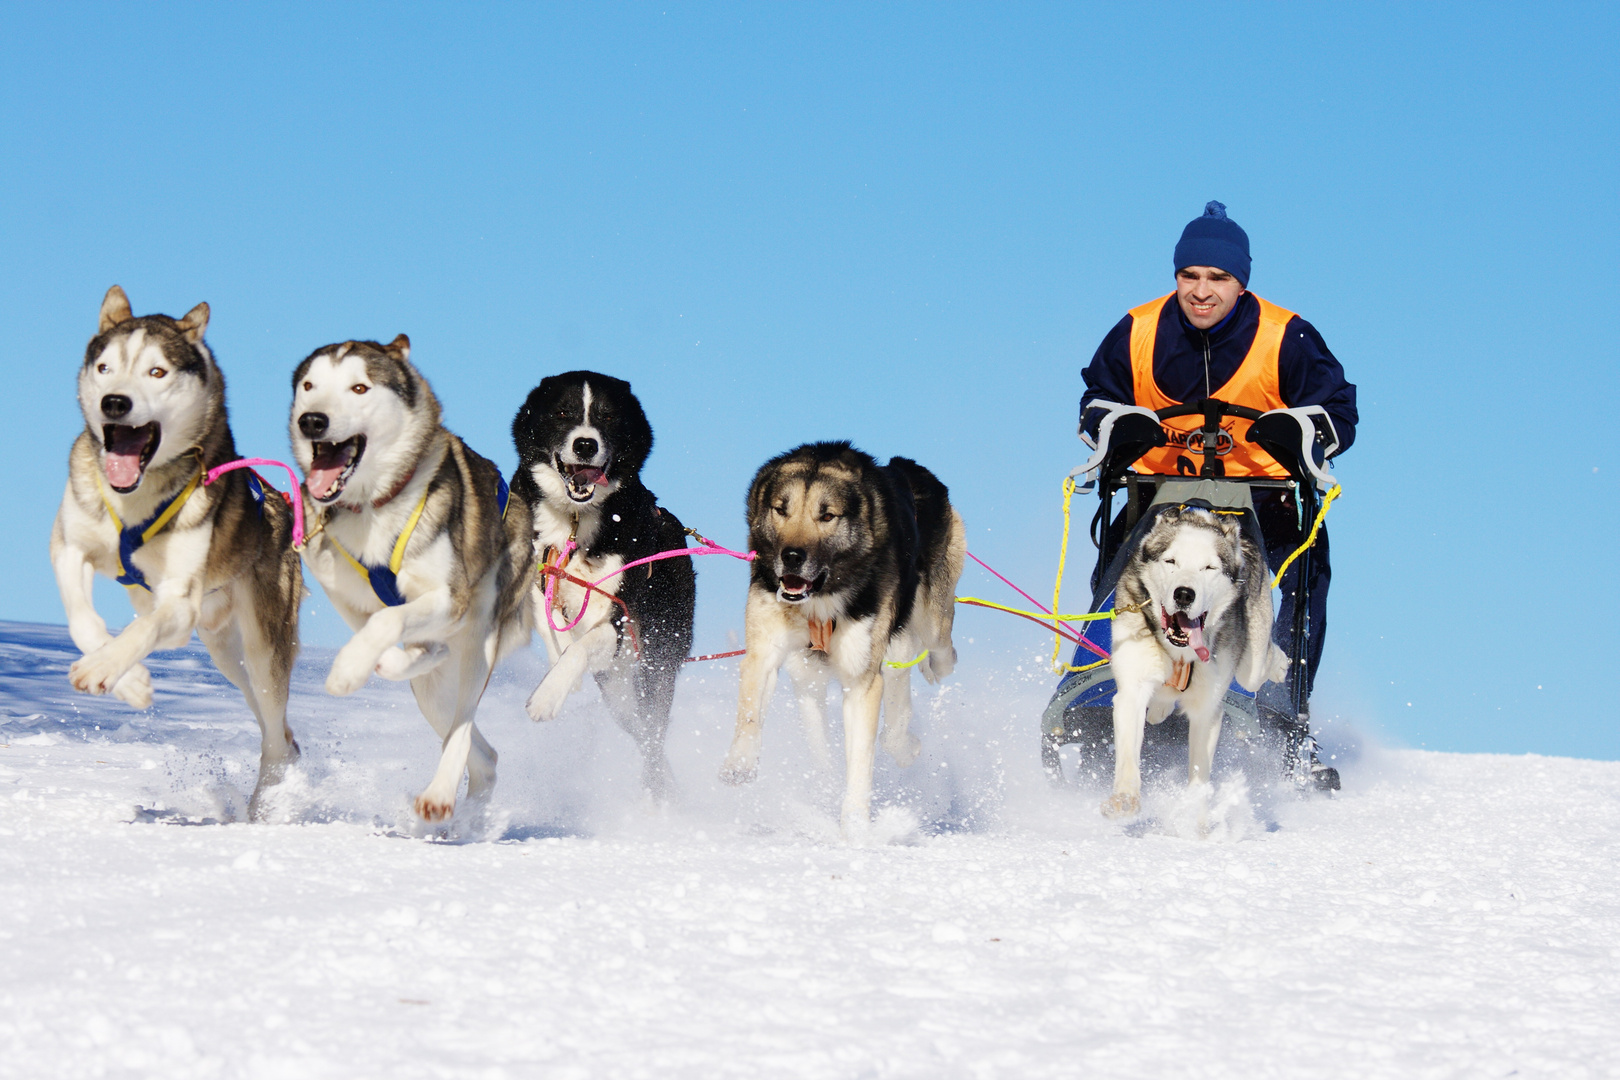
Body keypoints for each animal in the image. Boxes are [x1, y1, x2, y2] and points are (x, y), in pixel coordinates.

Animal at [51, 286, 304, 819]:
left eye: (157, 372)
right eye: (104, 367)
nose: (114, 402)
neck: (133, 500)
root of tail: (284, 503)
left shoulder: (178, 602)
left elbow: (140, 630)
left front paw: (105, 668)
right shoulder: (69, 547)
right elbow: (83, 621)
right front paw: (128, 680)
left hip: (263, 646)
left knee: (276, 734)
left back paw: (264, 803)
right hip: (223, 652)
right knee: (273, 723)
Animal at [511, 372, 696, 793]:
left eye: (608, 416)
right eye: (562, 412)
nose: (585, 443)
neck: (576, 521)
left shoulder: (619, 618)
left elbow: (581, 647)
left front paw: (547, 696)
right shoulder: (539, 573)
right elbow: (550, 623)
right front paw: (558, 656)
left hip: (655, 664)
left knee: (653, 735)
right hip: (617, 692)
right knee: (642, 733)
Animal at [719, 440, 959, 835]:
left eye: (827, 515)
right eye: (781, 509)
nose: (792, 556)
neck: (820, 602)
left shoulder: (861, 680)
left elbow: (860, 762)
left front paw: (856, 826)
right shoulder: (776, 659)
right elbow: (756, 713)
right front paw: (740, 762)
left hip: (931, 618)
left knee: (936, 652)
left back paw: (930, 676)